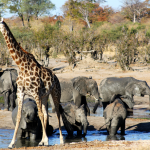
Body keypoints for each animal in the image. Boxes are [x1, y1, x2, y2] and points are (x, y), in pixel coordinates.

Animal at [0, 17, 63, 148]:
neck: (21, 65)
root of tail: (56, 77)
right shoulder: (20, 92)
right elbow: (19, 116)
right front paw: (11, 143)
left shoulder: (35, 92)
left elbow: (39, 114)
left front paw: (47, 141)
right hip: (45, 95)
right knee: (45, 113)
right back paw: (42, 141)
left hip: (55, 93)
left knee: (57, 113)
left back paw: (61, 140)